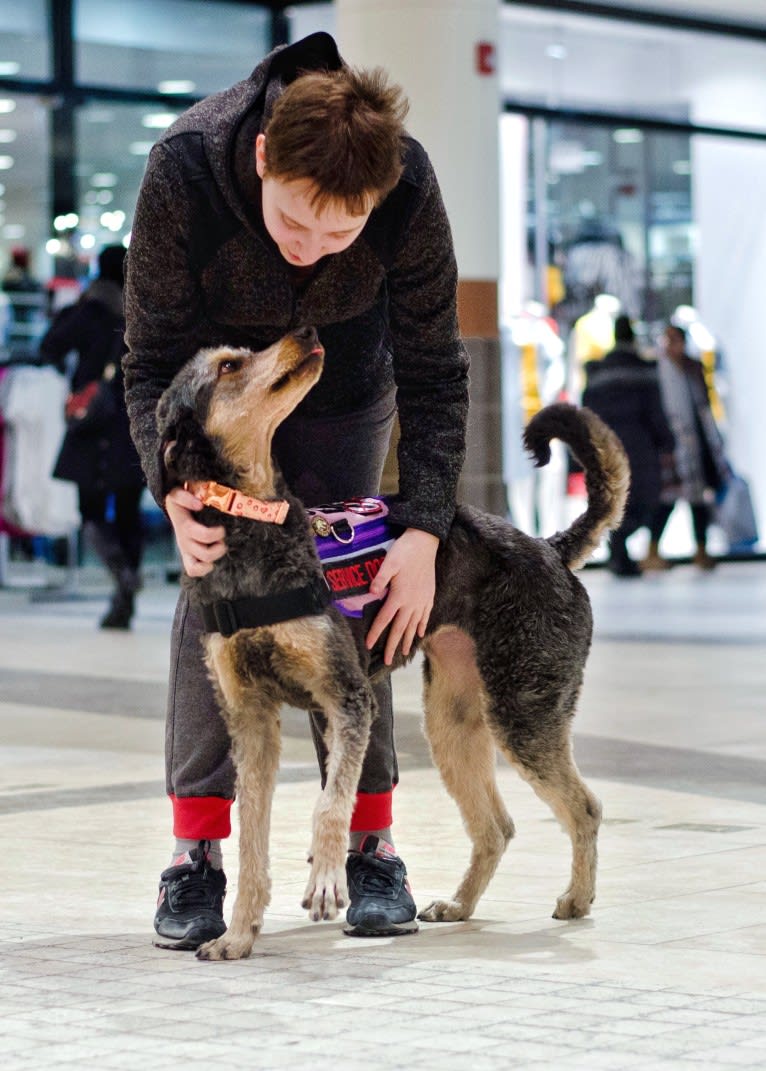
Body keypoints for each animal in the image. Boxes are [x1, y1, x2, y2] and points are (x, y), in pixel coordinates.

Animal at [155, 325, 629, 963]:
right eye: (230, 366)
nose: (306, 330)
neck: (252, 525)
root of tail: (551, 548)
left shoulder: (347, 699)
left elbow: (331, 805)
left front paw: (326, 879)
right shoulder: (252, 722)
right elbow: (252, 839)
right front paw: (238, 934)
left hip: (524, 712)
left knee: (585, 808)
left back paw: (576, 899)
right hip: (453, 722)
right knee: (497, 826)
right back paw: (459, 905)